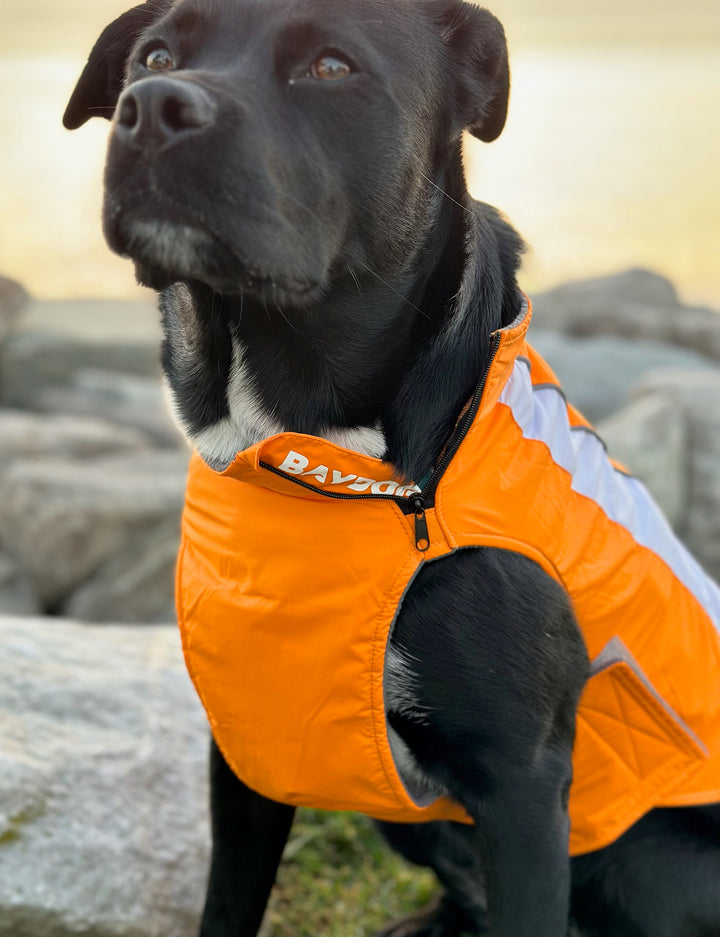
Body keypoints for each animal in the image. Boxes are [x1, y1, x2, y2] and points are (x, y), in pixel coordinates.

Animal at [64, 1, 720, 936]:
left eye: (333, 67)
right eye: (153, 56)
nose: (152, 107)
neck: (325, 463)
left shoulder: (524, 786)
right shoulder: (250, 744)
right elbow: (226, 905)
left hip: (649, 862)